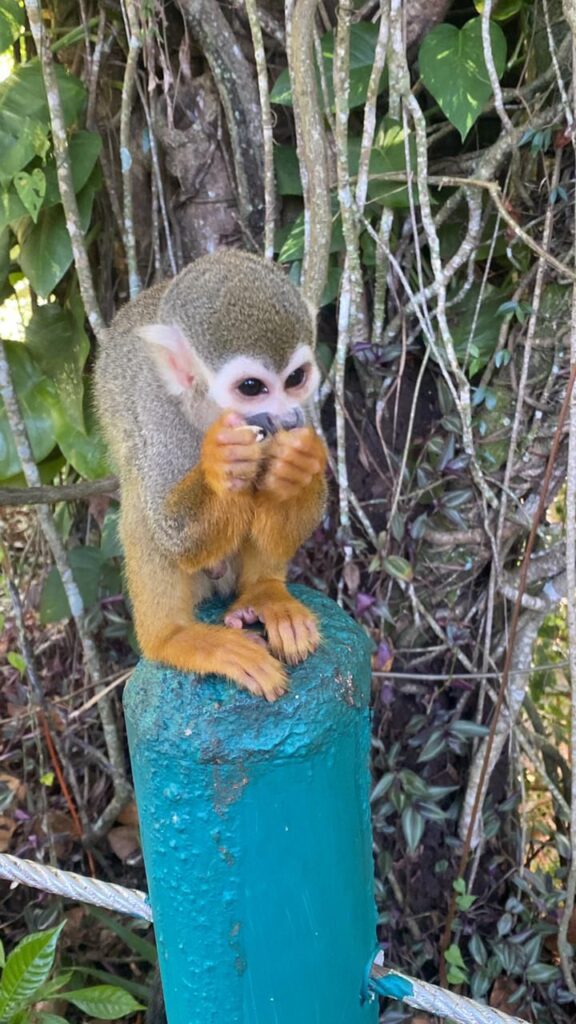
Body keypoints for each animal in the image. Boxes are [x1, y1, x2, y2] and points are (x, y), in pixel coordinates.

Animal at [94, 250, 328, 701]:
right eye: (252, 387)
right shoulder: (157, 408)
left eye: (295, 379)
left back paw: (264, 592)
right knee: (140, 506)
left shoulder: (306, 409)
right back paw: (173, 637)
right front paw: (223, 466)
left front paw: (296, 467)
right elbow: (174, 535)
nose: (286, 418)